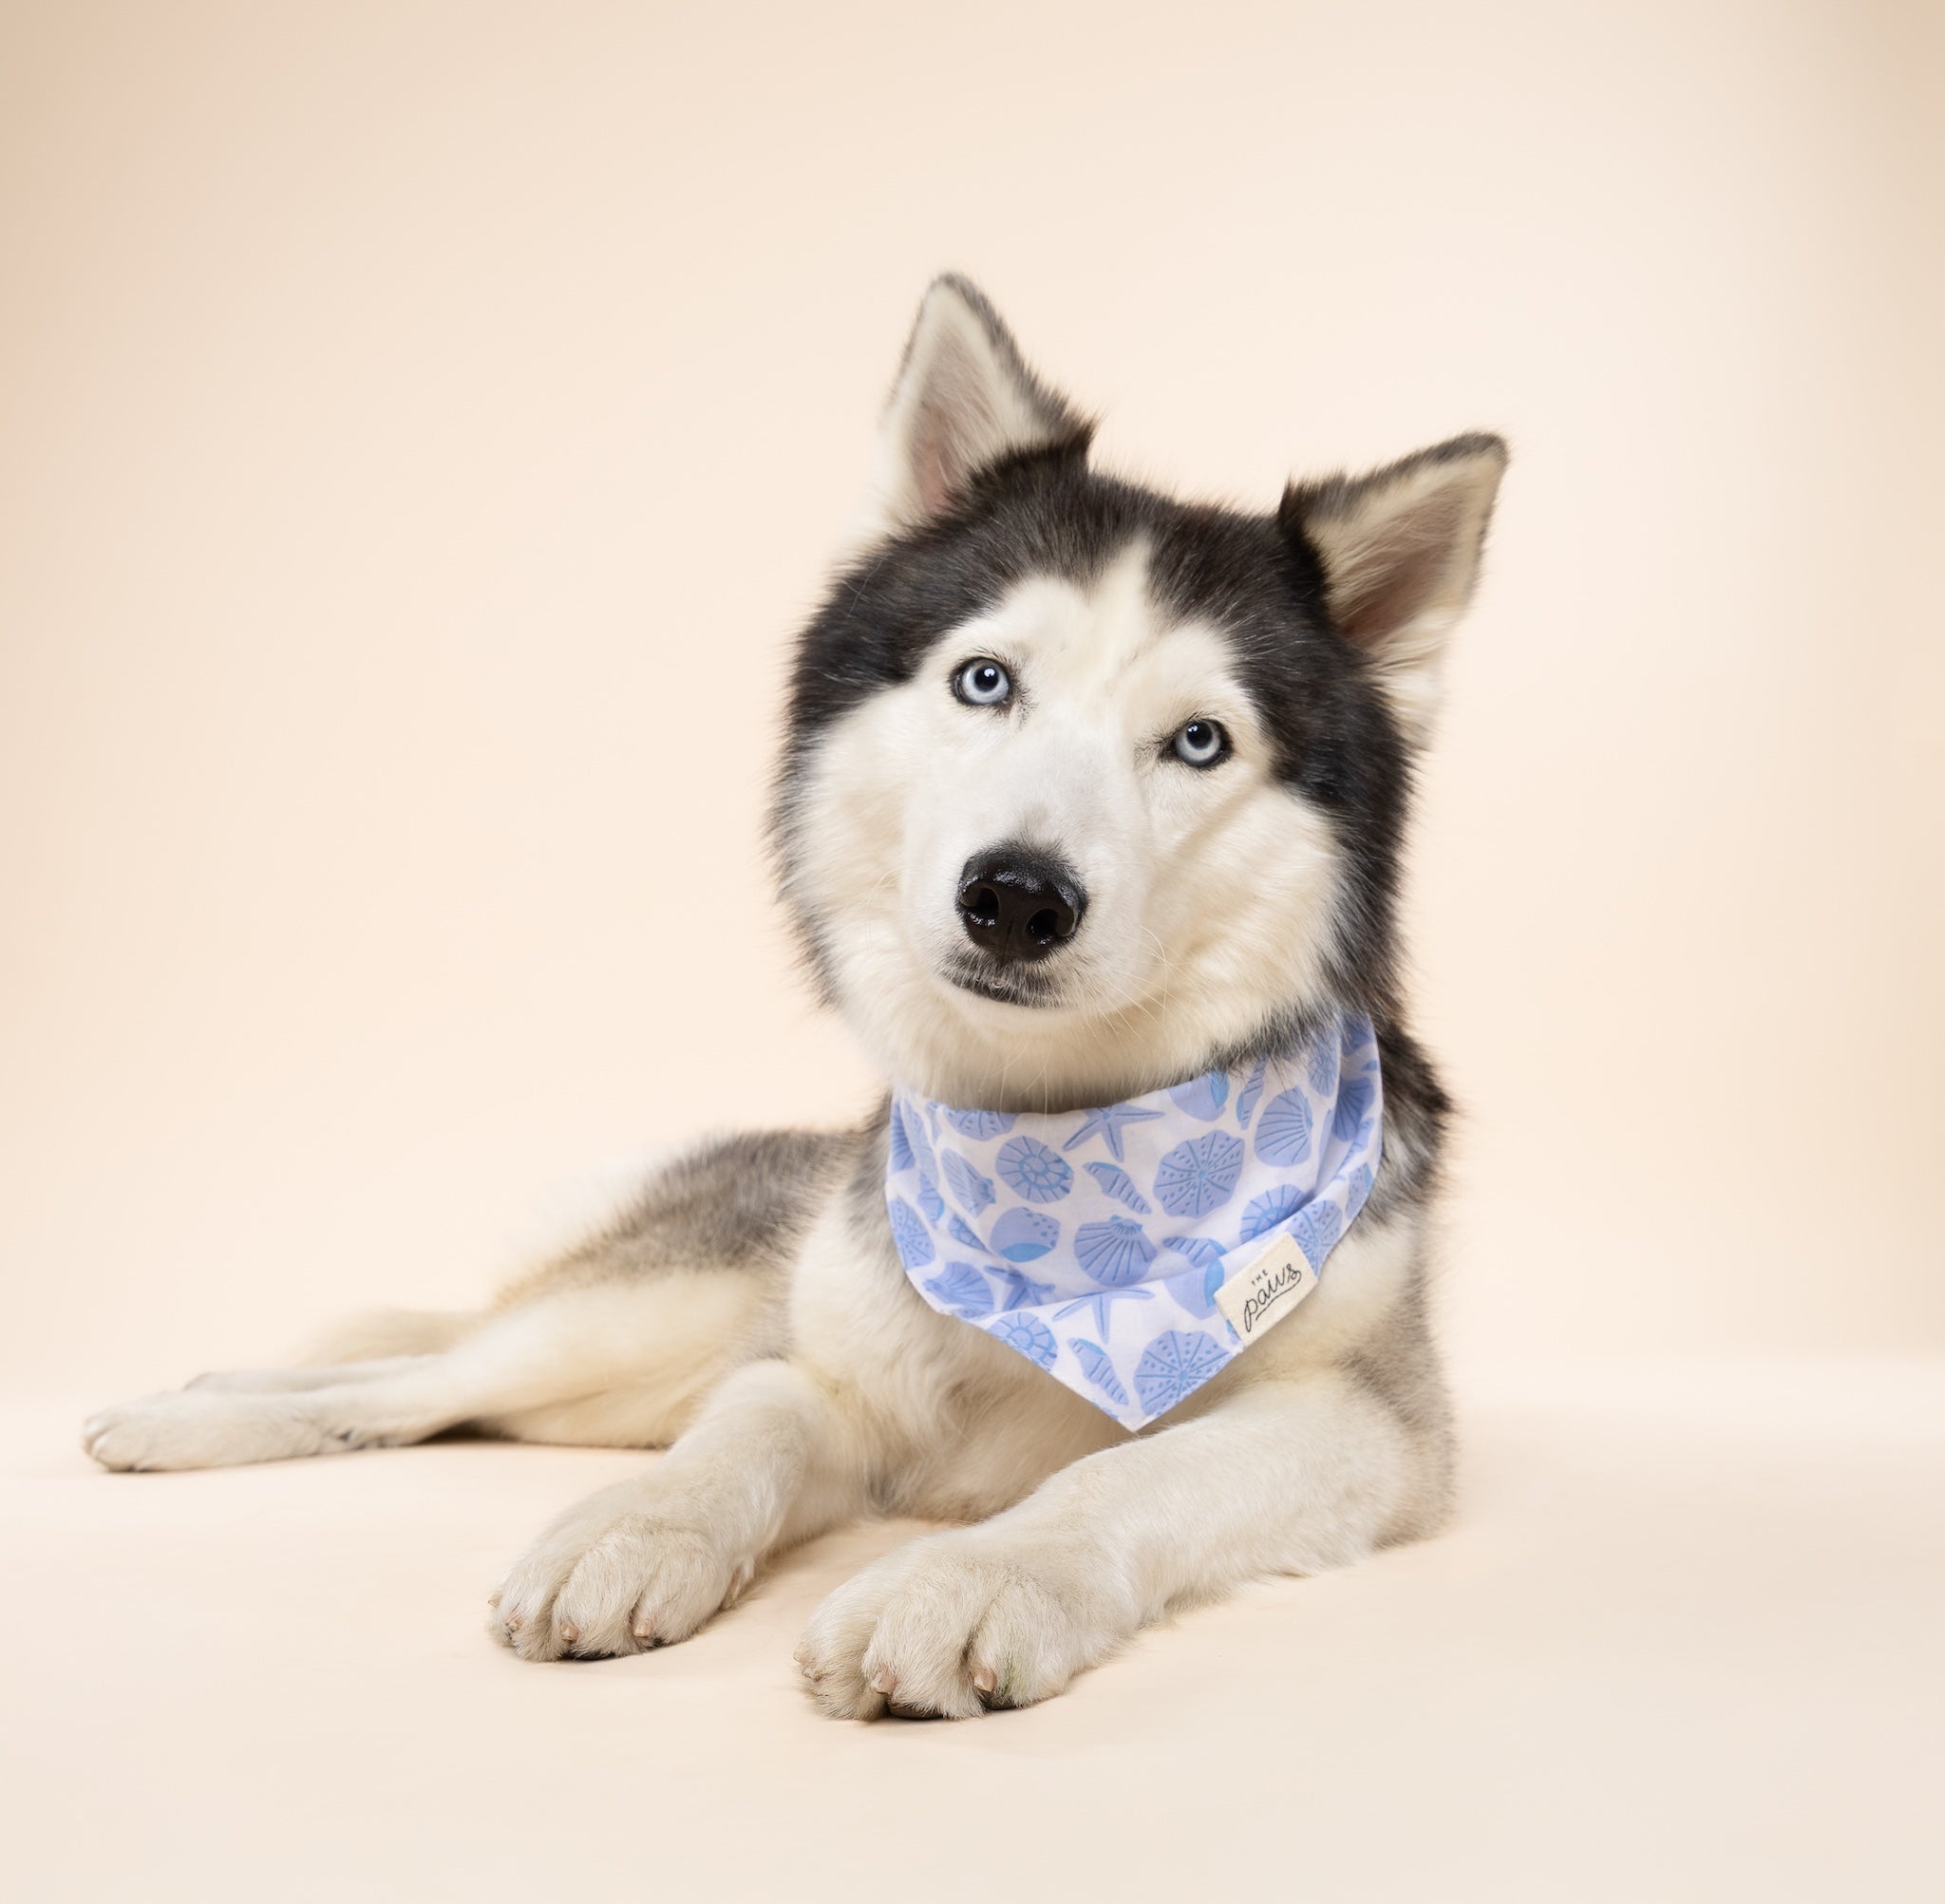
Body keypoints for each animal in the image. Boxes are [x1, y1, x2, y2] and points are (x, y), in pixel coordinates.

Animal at [84, 281, 1509, 1726]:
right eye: (984, 679)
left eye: (1199, 741)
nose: (1016, 897)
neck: (1056, 1155)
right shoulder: (817, 1365)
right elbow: (749, 1424)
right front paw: (637, 1527)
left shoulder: (1368, 1424)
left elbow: (1121, 1470)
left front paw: (971, 1578)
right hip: (633, 1322)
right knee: (427, 1371)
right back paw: (188, 1410)